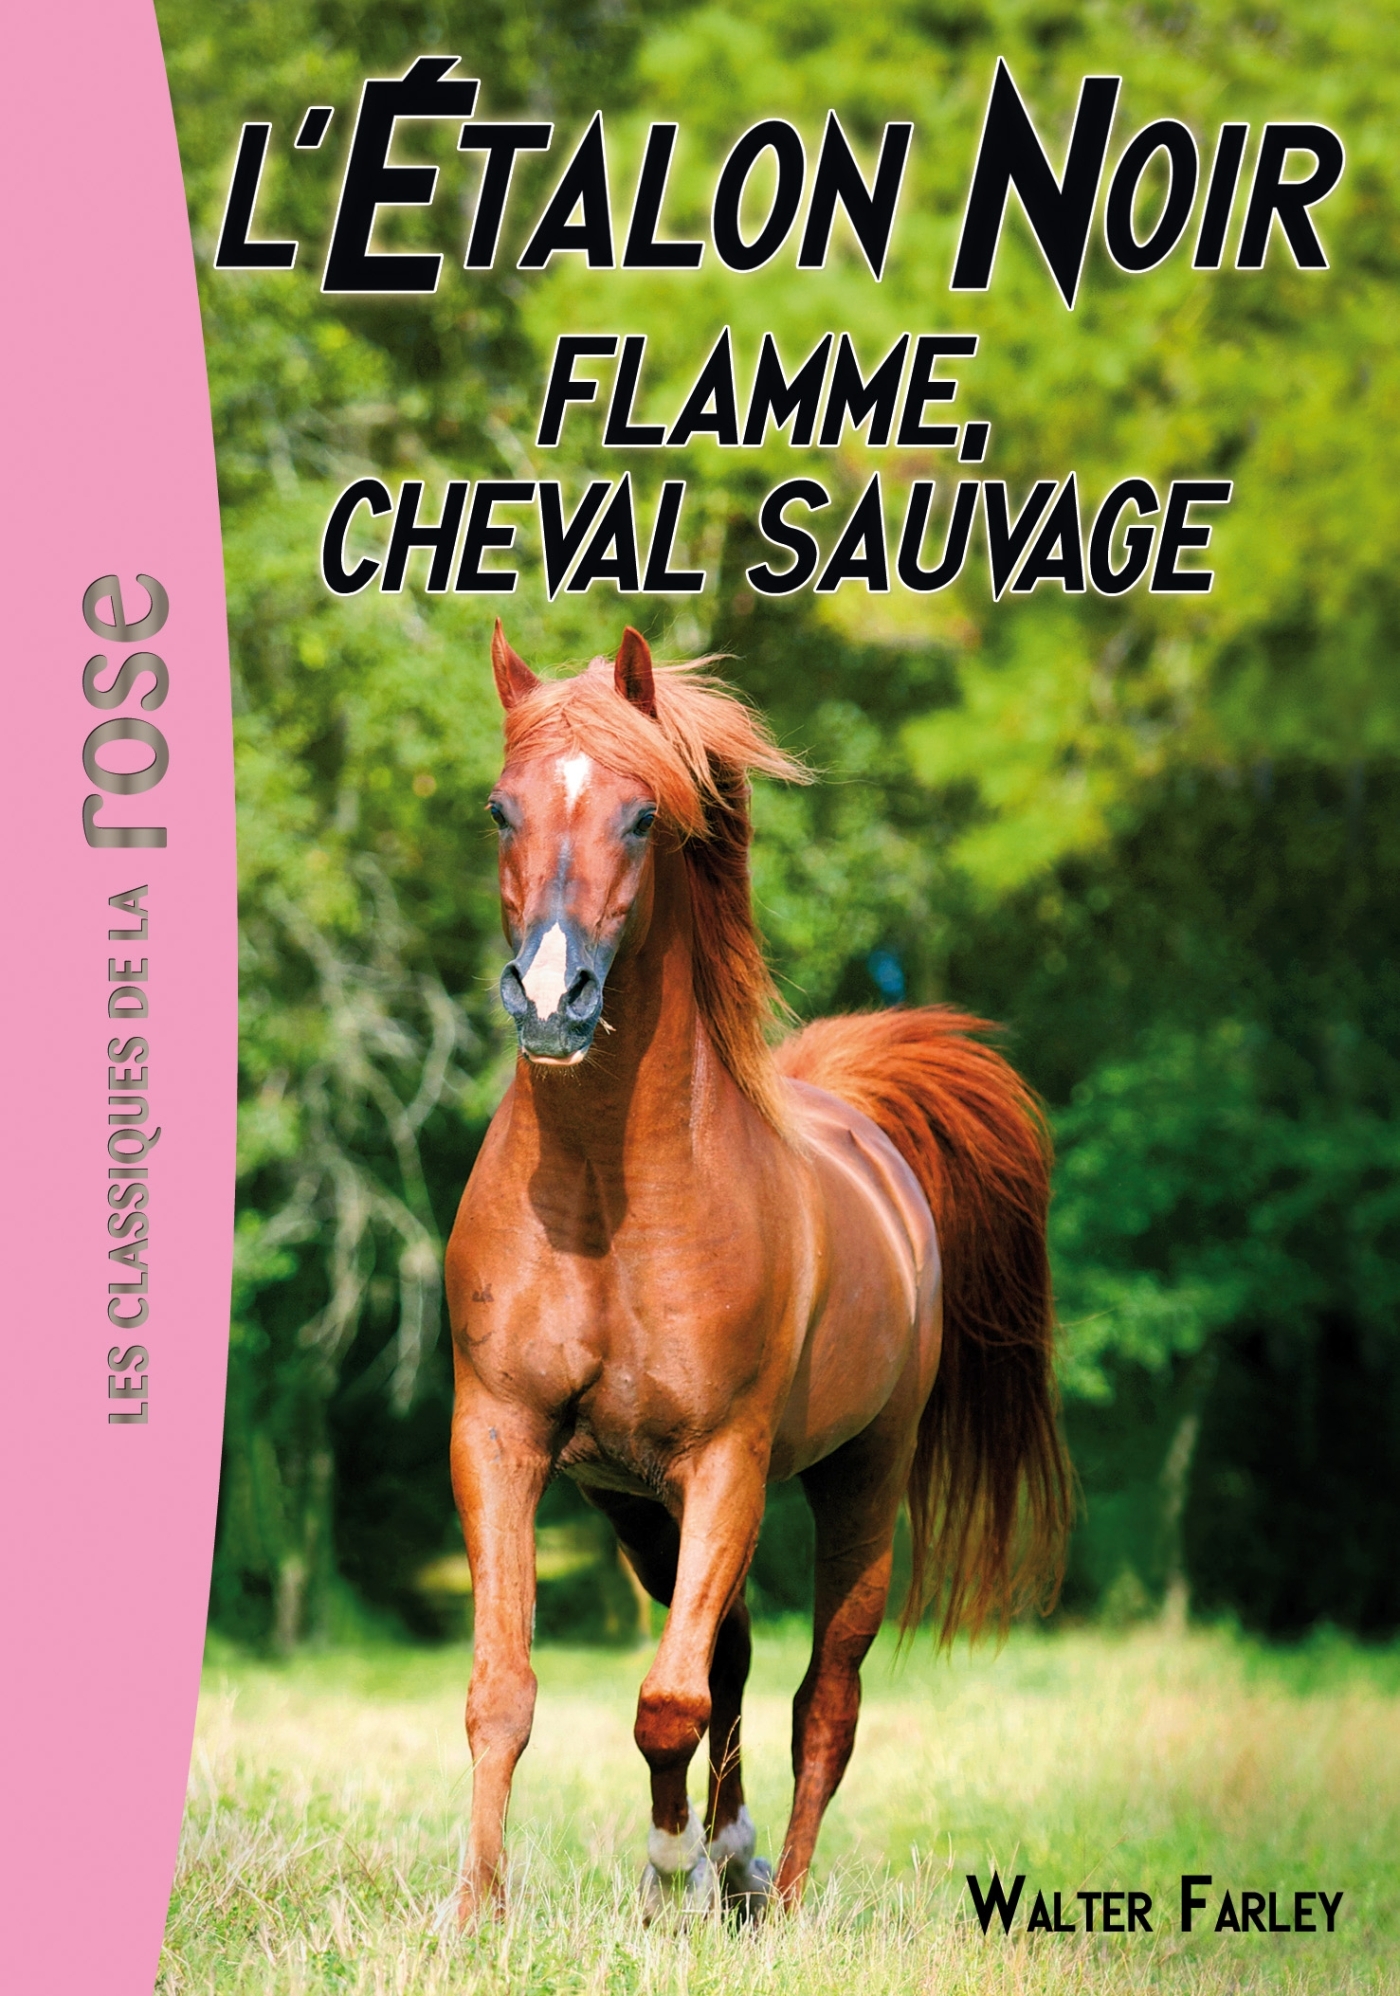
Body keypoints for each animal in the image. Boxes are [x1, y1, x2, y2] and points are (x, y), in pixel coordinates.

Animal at [444, 621, 1071, 1922]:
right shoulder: (502, 1438)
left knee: (819, 1697)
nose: (550, 999)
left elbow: (667, 1700)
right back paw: (725, 1866)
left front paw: (666, 1870)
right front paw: (475, 1910)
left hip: (857, 1487)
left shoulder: (727, 1457)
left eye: (642, 816)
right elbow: (506, 1691)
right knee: (728, 1659)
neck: (607, 1199)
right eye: (497, 808)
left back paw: (770, 1895)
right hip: (643, 1506)